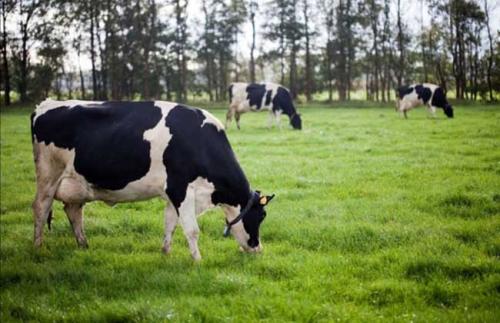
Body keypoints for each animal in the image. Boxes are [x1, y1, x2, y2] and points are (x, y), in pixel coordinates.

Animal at [31, 98, 276, 260]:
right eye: (262, 215)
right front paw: (197, 261)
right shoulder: (180, 189)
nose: (258, 248)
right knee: (41, 207)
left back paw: (83, 244)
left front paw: (166, 252)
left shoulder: (172, 194)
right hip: (48, 175)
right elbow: (191, 229)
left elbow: (170, 224)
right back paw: (38, 246)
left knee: (73, 211)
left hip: (77, 183)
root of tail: (46, 103)